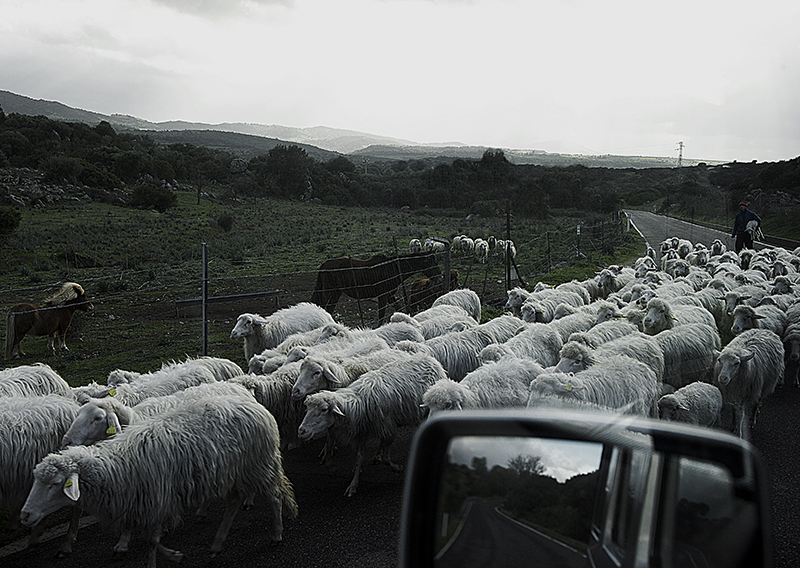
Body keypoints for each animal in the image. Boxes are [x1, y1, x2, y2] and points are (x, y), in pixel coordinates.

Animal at [21, 394, 296, 568]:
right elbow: (148, 538)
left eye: (56, 483)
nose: (24, 515)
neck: (118, 463)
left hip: (257, 464)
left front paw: (158, 558)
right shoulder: (143, 502)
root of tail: (254, 404)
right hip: (232, 470)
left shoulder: (157, 498)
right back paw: (217, 543)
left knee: (273, 496)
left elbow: (151, 540)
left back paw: (276, 534)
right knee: (234, 501)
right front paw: (173, 555)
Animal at [296, 352, 446, 494]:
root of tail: (427, 357)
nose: (301, 431)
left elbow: (386, 459)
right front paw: (353, 483)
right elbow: (359, 458)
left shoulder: (388, 430)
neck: (358, 402)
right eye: (307, 408)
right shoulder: (363, 430)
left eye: (324, 409)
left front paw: (397, 468)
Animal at [310, 252, 440, 322]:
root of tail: (323, 265)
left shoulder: (390, 295)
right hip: (328, 292)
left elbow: (398, 309)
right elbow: (381, 315)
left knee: (329, 309)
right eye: (433, 263)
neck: (391, 268)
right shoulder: (383, 296)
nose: (439, 277)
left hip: (336, 293)